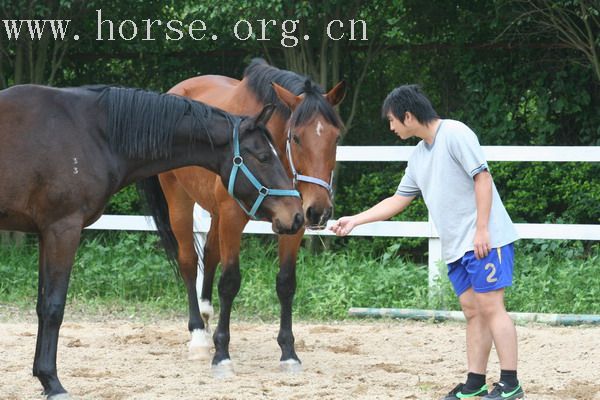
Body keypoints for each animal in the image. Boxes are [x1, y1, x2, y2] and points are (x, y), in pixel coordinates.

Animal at [0, 83, 302, 398]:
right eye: (263, 157)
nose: (296, 215)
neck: (88, 131)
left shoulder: (46, 232)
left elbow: (42, 306)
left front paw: (42, 376)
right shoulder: (62, 229)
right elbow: (53, 307)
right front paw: (52, 381)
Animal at [159, 58, 346, 376]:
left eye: (336, 137)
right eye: (296, 137)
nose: (319, 210)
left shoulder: (292, 222)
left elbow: (286, 283)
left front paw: (288, 352)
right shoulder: (233, 217)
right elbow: (230, 282)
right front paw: (222, 354)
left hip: (214, 212)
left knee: (209, 253)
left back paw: (206, 316)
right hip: (180, 202)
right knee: (188, 261)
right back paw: (198, 336)